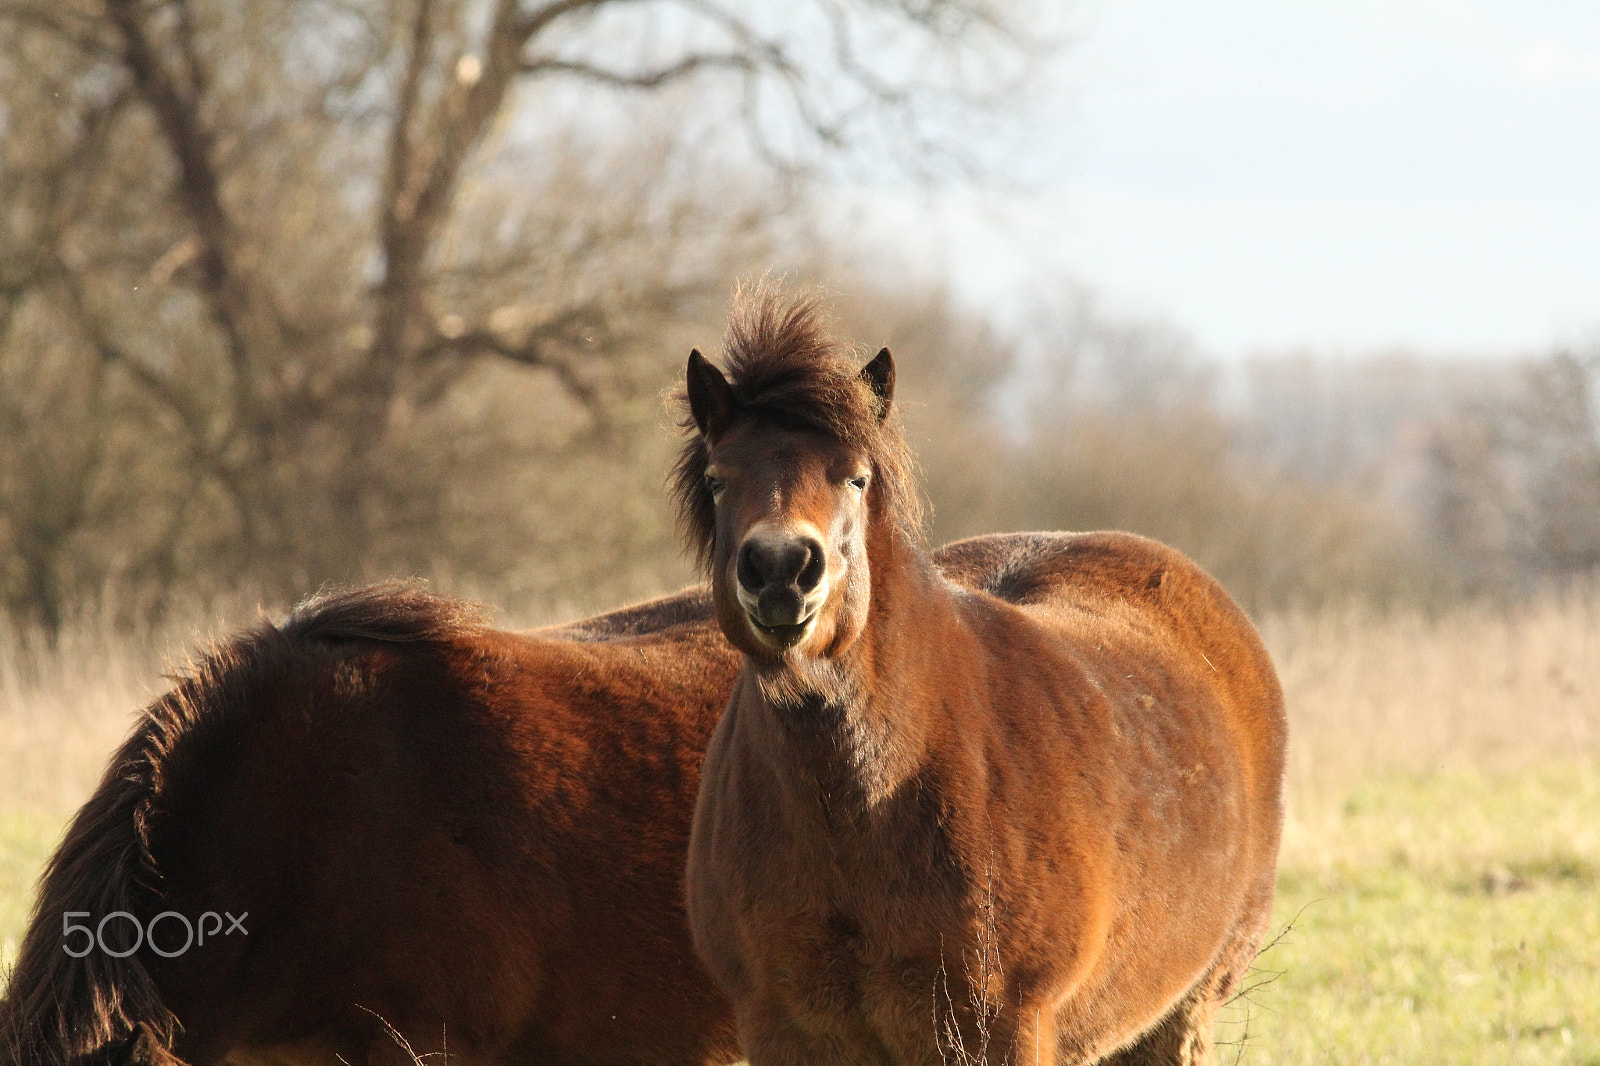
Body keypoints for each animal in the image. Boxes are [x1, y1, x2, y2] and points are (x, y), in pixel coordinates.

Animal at [675, 291, 1286, 1062]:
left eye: (855, 477)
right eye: (718, 479)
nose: (782, 569)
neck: (867, 803)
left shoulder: (1003, 1024)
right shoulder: (782, 1026)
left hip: (1181, 1014)